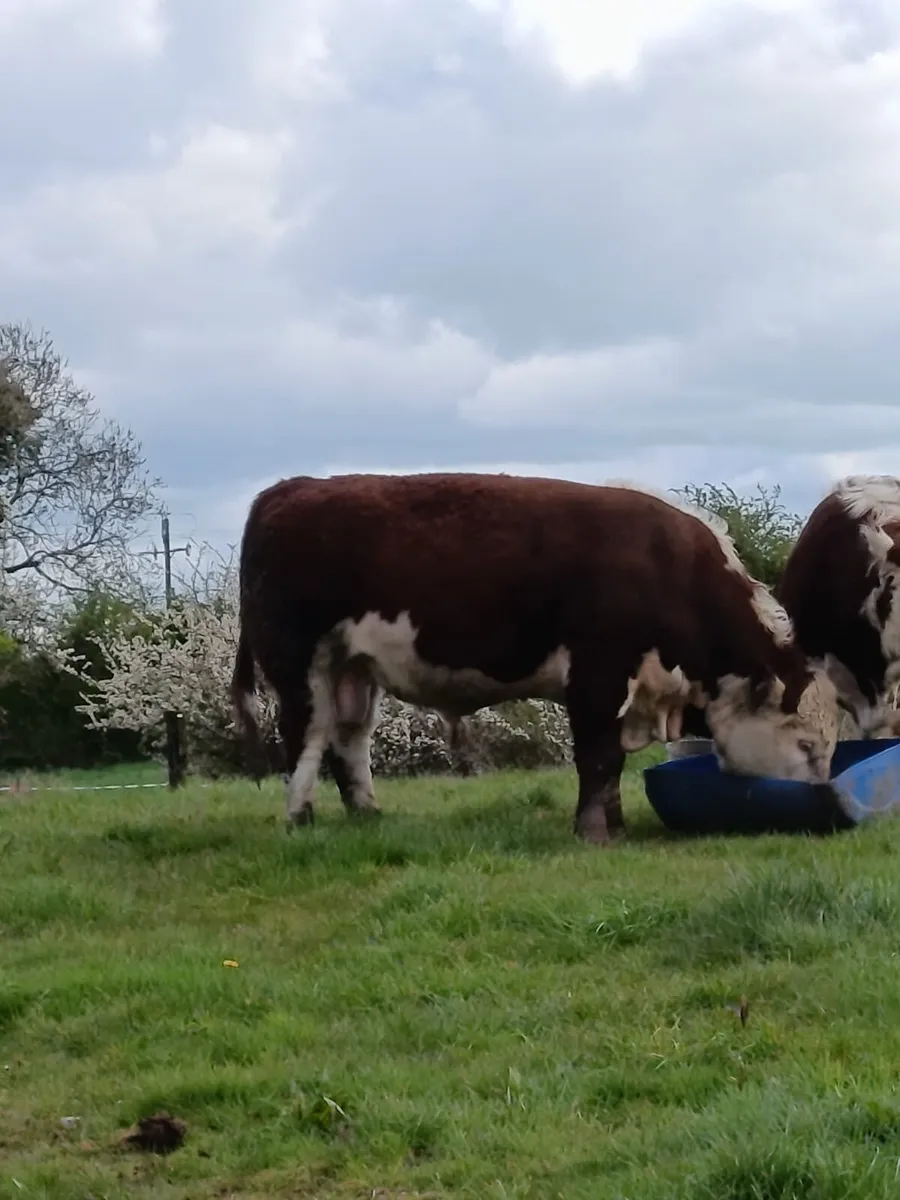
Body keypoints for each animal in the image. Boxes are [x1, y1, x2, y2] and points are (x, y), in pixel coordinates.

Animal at [230, 471, 840, 845]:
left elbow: (610, 766)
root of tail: (290, 488)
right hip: (298, 662)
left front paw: (614, 825)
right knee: (306, 737)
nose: (827, 801)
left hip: (353, 668)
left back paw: (367, 815)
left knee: (348, 739)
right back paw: (301, 817)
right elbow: (599, 759)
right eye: (806, 745)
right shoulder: (598, 676)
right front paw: (595, 832)